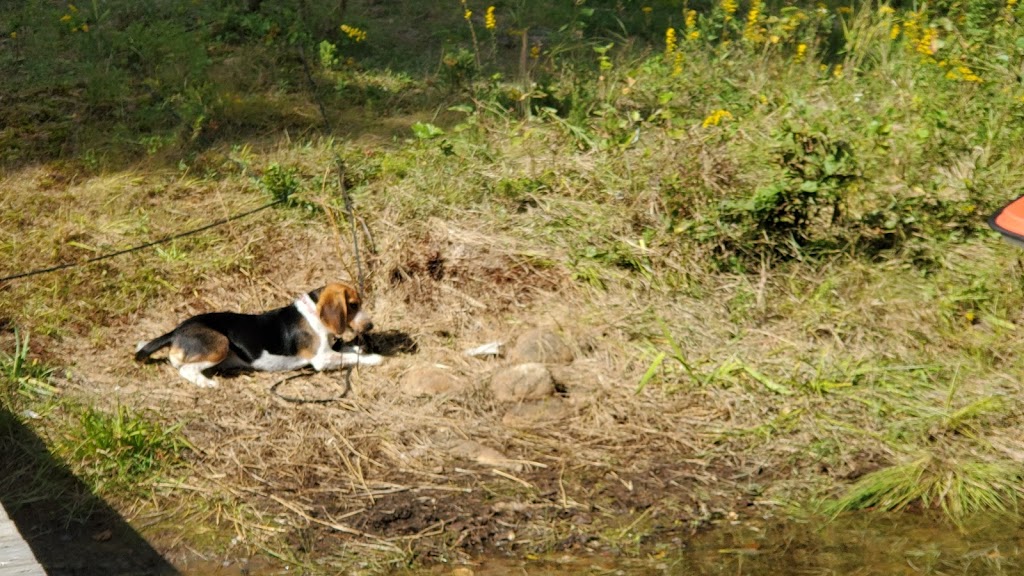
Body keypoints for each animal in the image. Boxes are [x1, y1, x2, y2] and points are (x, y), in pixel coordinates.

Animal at [132, 280, 380, 385]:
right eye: (353, 305)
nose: (370, 326)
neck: (313, 313)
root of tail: (175, 332)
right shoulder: (322, 359)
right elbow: (351, 357)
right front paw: (375, 357)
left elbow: (348, 350)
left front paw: (359, 347)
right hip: (220, 343)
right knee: (185, 369)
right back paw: (208, 383)